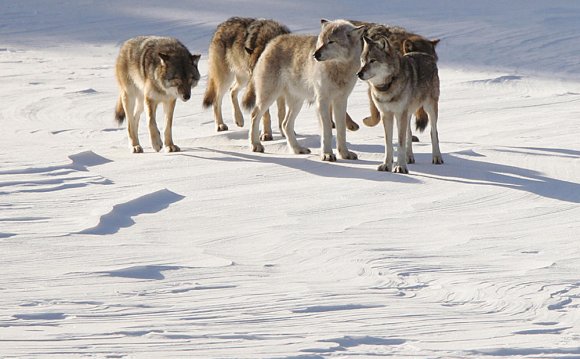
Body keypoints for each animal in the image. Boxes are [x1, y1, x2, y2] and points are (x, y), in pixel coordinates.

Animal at [242, 18, 364, 162]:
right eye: (321, 41)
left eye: (331, 41)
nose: (315, 54)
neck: (338, 69)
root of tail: (272, 42)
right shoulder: (322, 101)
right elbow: (327, 131)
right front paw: (327, 154)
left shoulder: (341, 101)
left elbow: (341, 131)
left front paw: (344, 154)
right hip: (269, 97)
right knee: (254, 116)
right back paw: (256, 145)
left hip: (297, 102)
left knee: (285, 124)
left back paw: (297, 149)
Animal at [356, 35, 442, 174]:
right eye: (362, 61)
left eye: (372, 60)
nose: (358, 74)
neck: (387, 86)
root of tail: (426, 55)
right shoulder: (386, 115)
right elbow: (389, 143)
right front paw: (387, 165)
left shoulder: (400, 114)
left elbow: (400, 143)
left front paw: (400, 167)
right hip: (407, 114)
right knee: (409, 133)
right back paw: (409, 157)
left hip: (429, 108)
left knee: (433, 132)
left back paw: (437, 157)